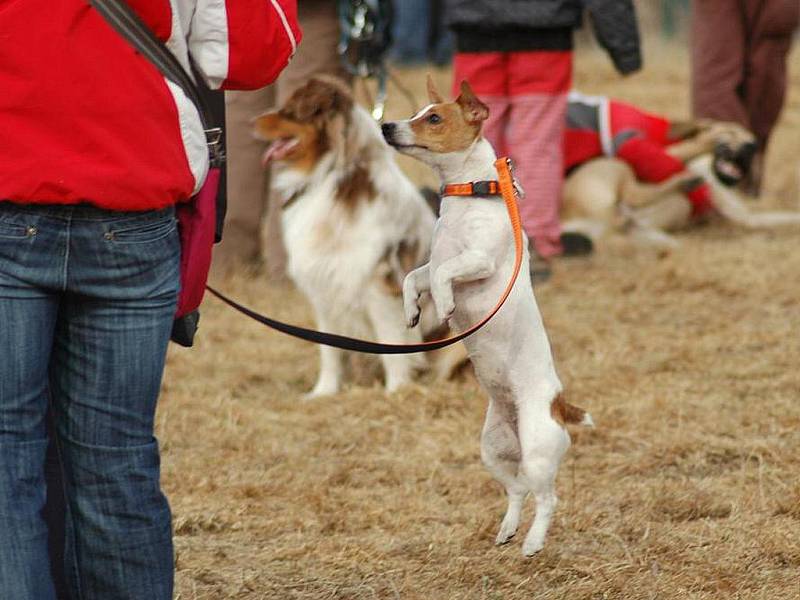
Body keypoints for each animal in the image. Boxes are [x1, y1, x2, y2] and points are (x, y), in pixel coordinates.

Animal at [253, 76, 466, 398]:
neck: (331, 175)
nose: (252, 121)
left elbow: (392, 342)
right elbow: (329, 350)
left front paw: (396, 391)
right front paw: (324, 392)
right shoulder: (325, 284)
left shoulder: (379, 283)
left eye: (290, 110)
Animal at [382, 77, 592, 556]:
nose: (384, 126)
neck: (466, 192)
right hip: (493, 448)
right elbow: (414, 277)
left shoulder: (478, 261)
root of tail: (559, 404)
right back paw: (508, 529)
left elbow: (444, 274)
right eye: (418, 112)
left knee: (546, 497)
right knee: (516, 490)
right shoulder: (429, 263)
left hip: (537, 449)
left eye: (433, 118)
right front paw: (413, 310)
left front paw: (445, 305)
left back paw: (533, 542)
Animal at [560, 91, 800, 248]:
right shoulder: (742, 218)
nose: (753, 145)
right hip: (617, 169)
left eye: (751, 139)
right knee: (633, 199)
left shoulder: (742, 216)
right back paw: (683, 183)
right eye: (732, 132)